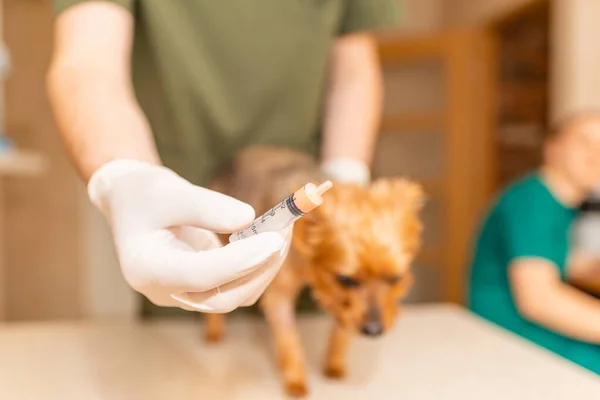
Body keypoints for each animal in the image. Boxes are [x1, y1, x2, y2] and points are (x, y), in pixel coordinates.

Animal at [204, 147, 424, 396]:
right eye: (346, 279)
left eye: (396, 278)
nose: (374, 330)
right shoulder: (280, 294)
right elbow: (288, 338)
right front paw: (296, 380)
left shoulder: (345, 309)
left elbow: (341, 328)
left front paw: (334, 363)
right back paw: (213, 330)